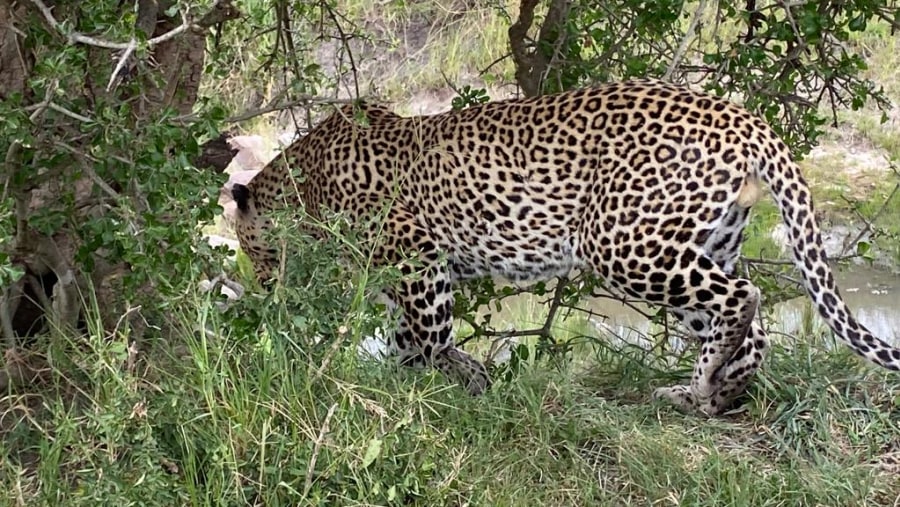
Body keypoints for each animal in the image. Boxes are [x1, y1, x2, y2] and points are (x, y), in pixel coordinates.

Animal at [230, 79, 900, 416]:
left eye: (251, 253)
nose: (265, 286)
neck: (303, 183)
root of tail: (741, 116)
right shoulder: (407, 274)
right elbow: (409, 341)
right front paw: (418, 382)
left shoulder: (418, 259)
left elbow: (432, 339)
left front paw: (465, 378)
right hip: (706, 242)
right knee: (749, 326)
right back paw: (708, 396)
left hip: (624, 242)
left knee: (744, 298)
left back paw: (705, 383)